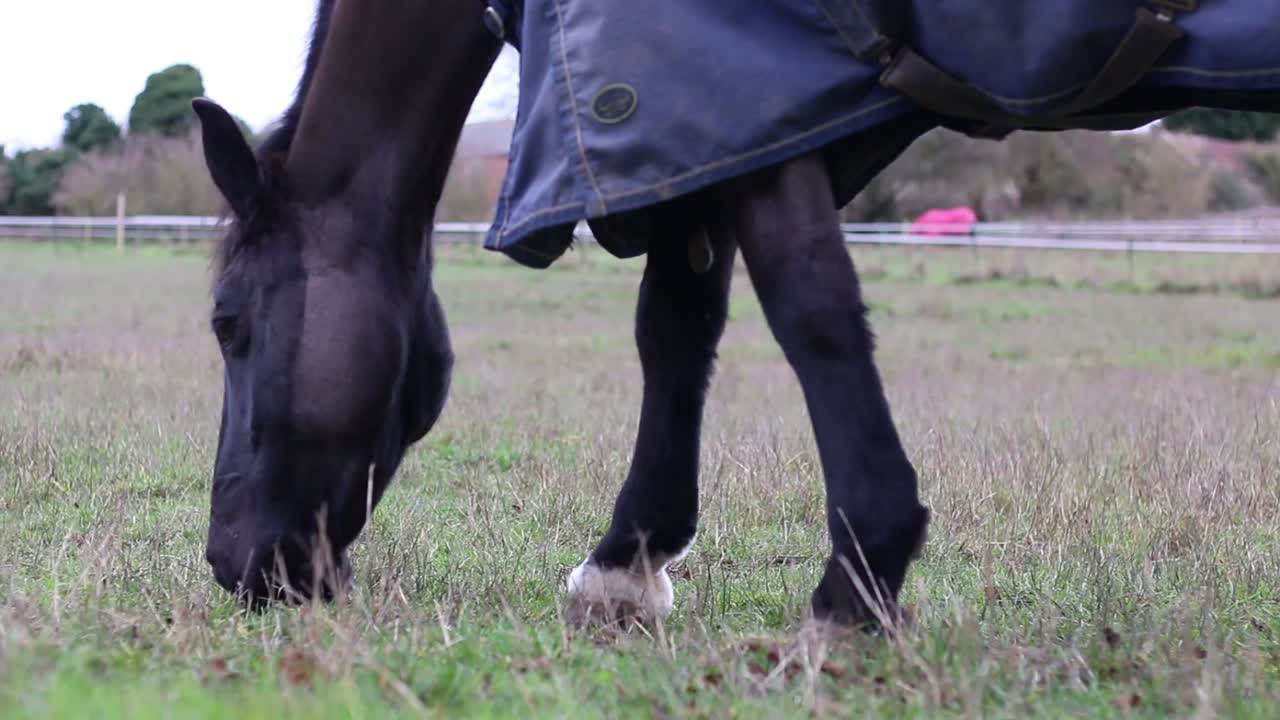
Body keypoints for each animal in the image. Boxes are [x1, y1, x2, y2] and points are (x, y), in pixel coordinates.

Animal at [194, 0, 1279, 624]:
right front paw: (628, 561)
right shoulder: (700, 134)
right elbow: (677, 327)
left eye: (225, 324)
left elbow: (810, 312)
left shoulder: (743, 109)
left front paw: (860, 579)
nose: (230, 564)